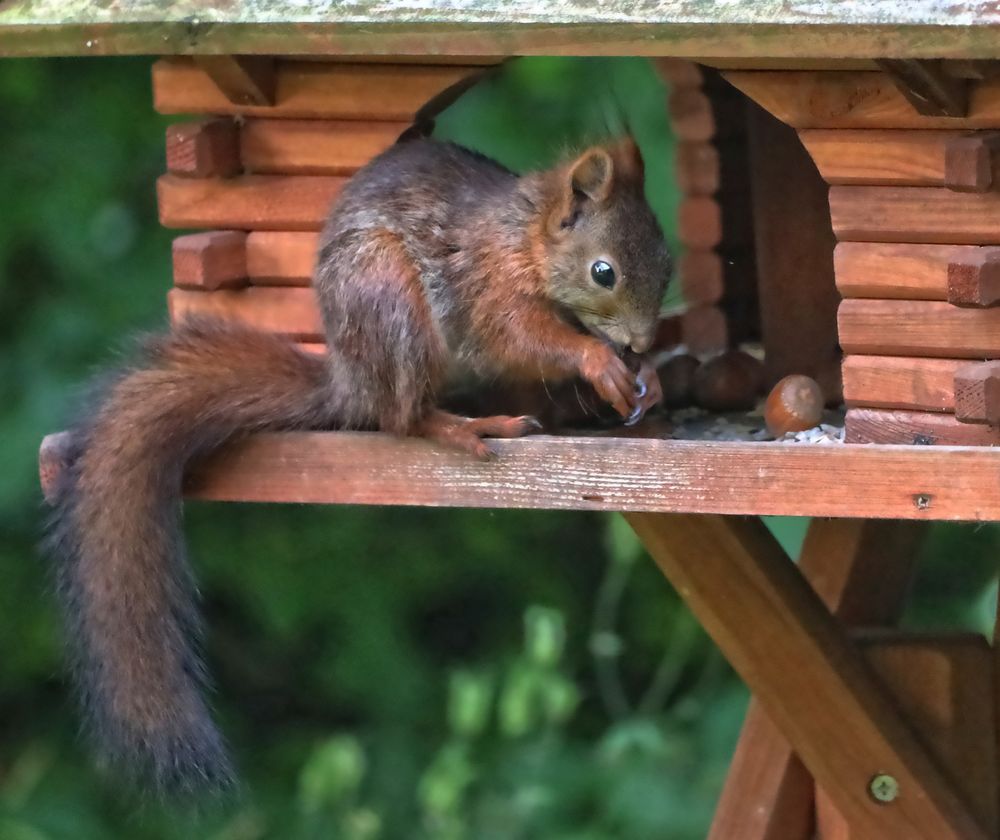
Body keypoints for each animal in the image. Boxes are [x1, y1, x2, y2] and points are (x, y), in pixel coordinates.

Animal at [45, 131, 672, 796]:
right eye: (603, 272)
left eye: (668, 263)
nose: (639, 344)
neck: (524, 237)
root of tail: (349, 383)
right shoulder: (488, 282)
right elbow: (520, 335)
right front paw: (597, 361)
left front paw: (650, 377)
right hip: (388, 298)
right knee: (401, 417)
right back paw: (466, 427)